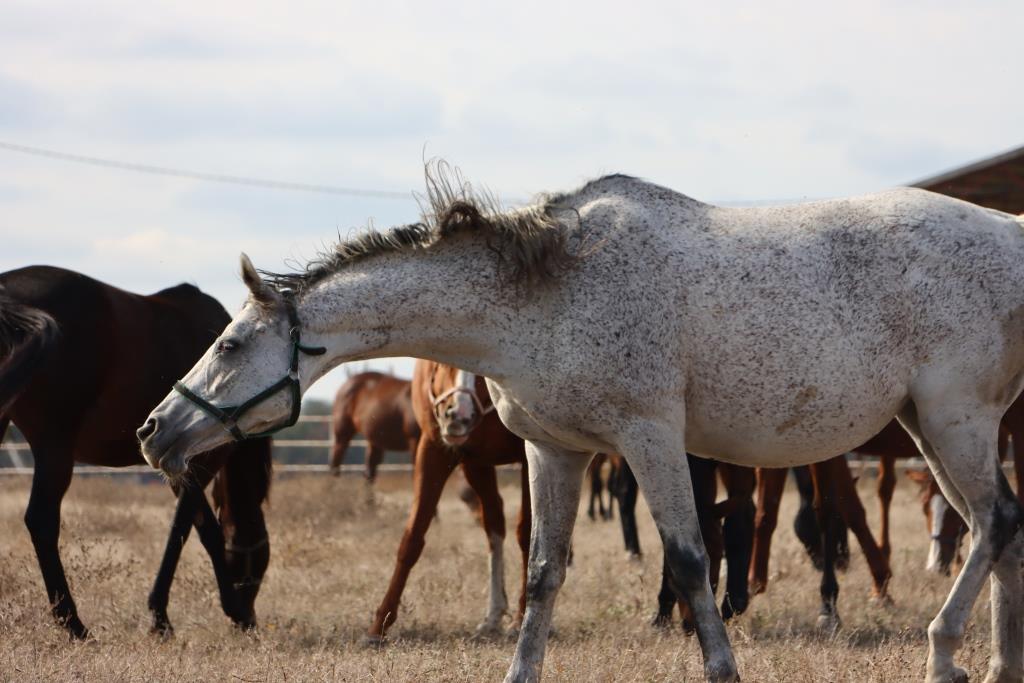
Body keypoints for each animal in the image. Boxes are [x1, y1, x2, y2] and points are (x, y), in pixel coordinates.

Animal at [0, 264, 272, 638]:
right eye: (261, 560)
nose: (252, 617)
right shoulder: (199, 463)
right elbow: (195, 530)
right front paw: (171, 616)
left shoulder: (176, 465)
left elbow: (195, 526)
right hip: (54, 445)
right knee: (42, 520)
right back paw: (74, 625)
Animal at [364, 360, 528, 643]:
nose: (458, 415)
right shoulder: (437, 450)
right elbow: (412, 536)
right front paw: (380, 624)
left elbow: (529, 535)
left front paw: (521, 619)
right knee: (494, 522)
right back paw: (492, 616)